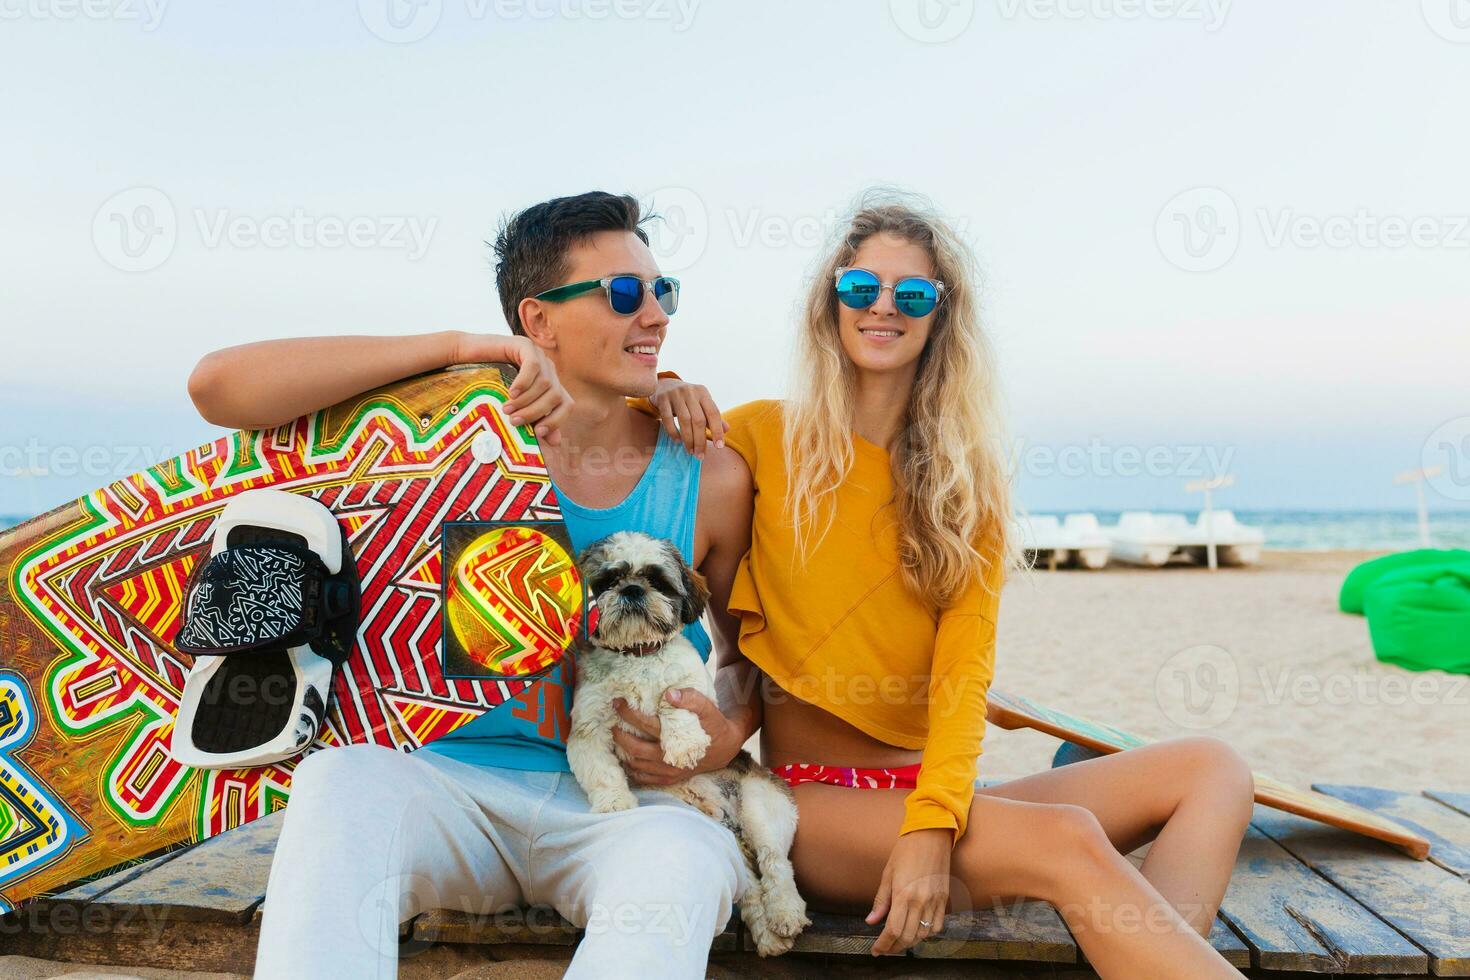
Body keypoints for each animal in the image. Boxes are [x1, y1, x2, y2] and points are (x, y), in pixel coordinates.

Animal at [564, 531, 817, 952]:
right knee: (751, 887)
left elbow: (673, 699)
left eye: (657, 580)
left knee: (776, 863)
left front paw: (682, 745)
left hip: (762, 807)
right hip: (724, 840)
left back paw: (785, 913)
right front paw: (615, 802)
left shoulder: (695, 690)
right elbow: (601, 771)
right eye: (608, 581)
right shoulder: (588, 727)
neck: (637, 655)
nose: (632, 589)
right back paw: (766, 930)